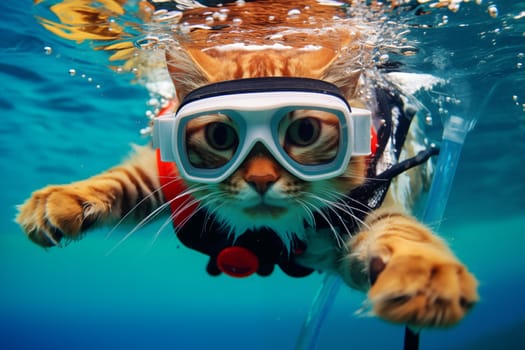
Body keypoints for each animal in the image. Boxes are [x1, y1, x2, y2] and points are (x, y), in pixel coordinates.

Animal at [16, 0, 476, 328]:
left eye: (305, 132)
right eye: (221, 137)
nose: (260, 179)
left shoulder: (368, 207)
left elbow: (400, 232)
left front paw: (427, 276)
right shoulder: (164, 172)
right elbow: (121, 179)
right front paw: (61, 201)